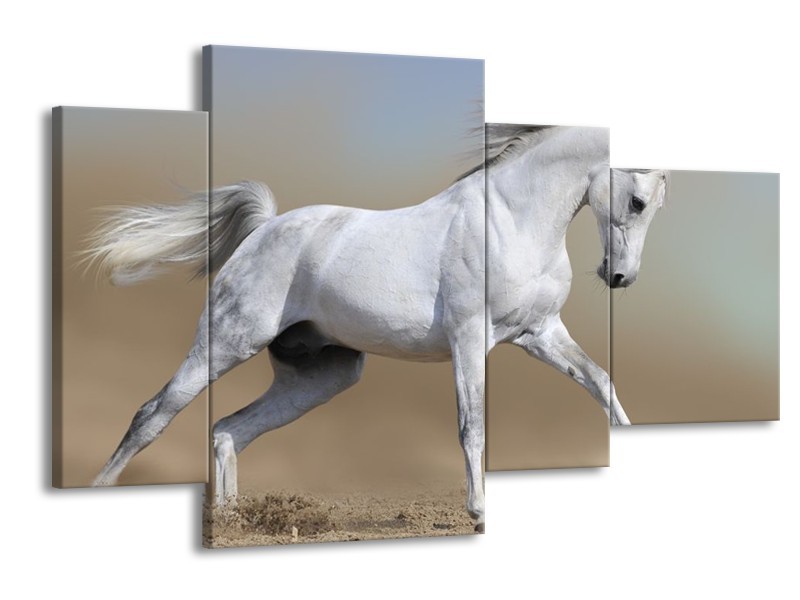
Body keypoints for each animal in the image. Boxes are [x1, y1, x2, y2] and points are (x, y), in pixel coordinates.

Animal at [88, 124, 666, 532]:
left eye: (659, 202)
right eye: (638, 200)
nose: (619, 277)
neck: (510, 221)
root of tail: (264, 229)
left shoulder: (540, 334)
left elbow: (601, 383)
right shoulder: (469, 339)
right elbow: (473, 425)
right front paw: (477, 510)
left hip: (322, 376)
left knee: (229, 430)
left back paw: (233, 521)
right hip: (227, 342)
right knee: (153, 415)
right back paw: (102, 487)